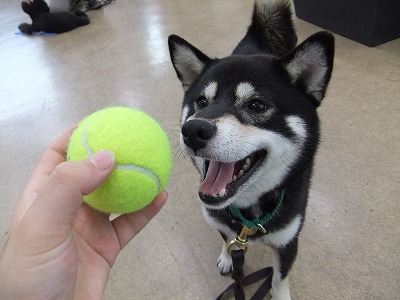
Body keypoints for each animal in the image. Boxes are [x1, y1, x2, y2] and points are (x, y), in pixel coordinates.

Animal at [169, 0, 334, 298]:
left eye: (256, 105)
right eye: (201, 102)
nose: (193, 130)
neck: (247, 217)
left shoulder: (288, 242)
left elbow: (280, 279)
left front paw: (280, 294)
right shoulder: (222, 223)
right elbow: (226, 239)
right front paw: (227, 257)